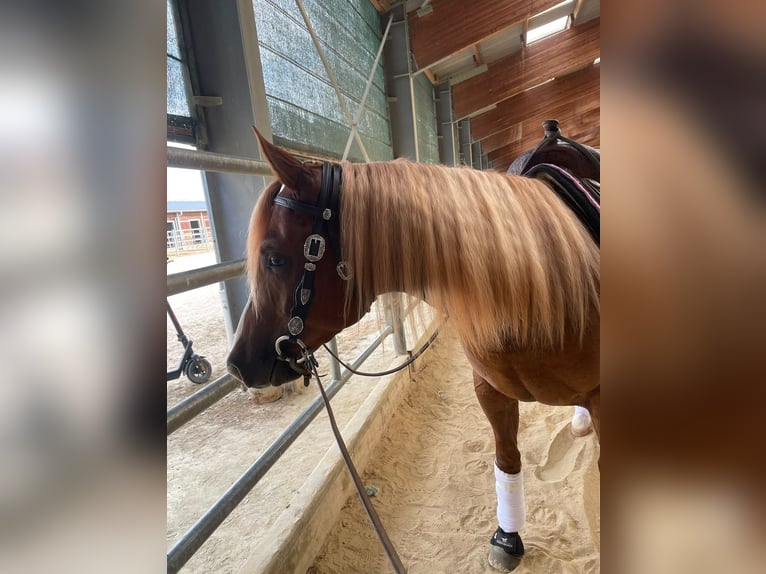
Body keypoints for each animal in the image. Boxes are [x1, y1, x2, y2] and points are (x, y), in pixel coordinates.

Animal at [227, 128, 600, 572]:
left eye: (273, 258)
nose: (238, 365)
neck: (535, 283)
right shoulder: (491, 391)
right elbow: (507, 459)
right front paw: (508, 539)